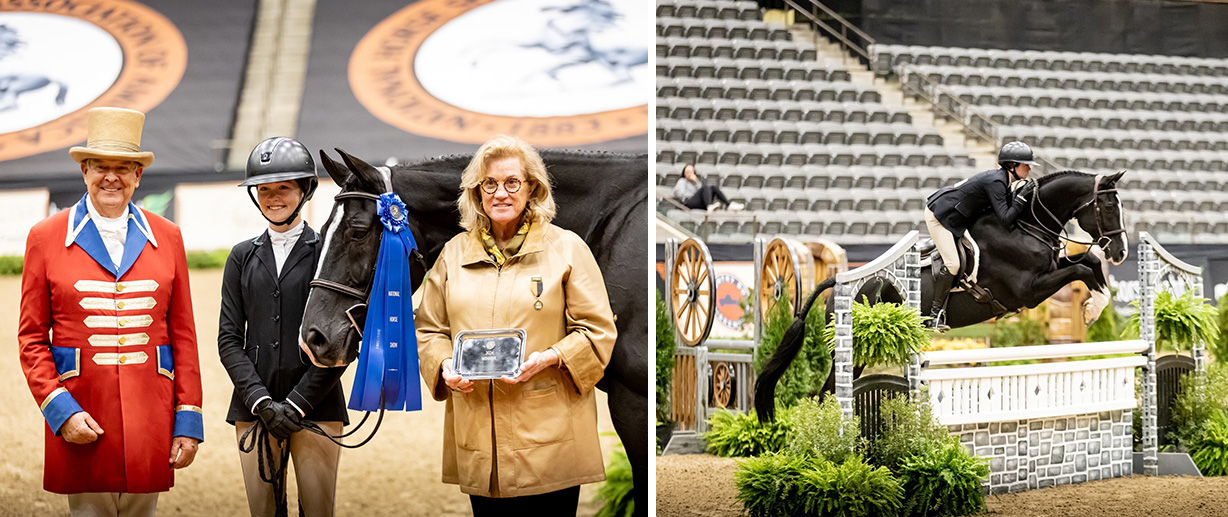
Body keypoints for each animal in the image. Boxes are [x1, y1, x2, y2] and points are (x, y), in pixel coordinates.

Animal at [751, 169, 1124, 419]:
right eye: (1107, 208)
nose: (1120, 253)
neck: (1025, 225)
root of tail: (840, 282)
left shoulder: (1049, 270)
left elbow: (1089, 262)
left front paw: (1097, 301)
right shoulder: (1028, 291)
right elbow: (1080, 270)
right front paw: (1093, 309)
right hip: (853, 350)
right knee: (828, 391)